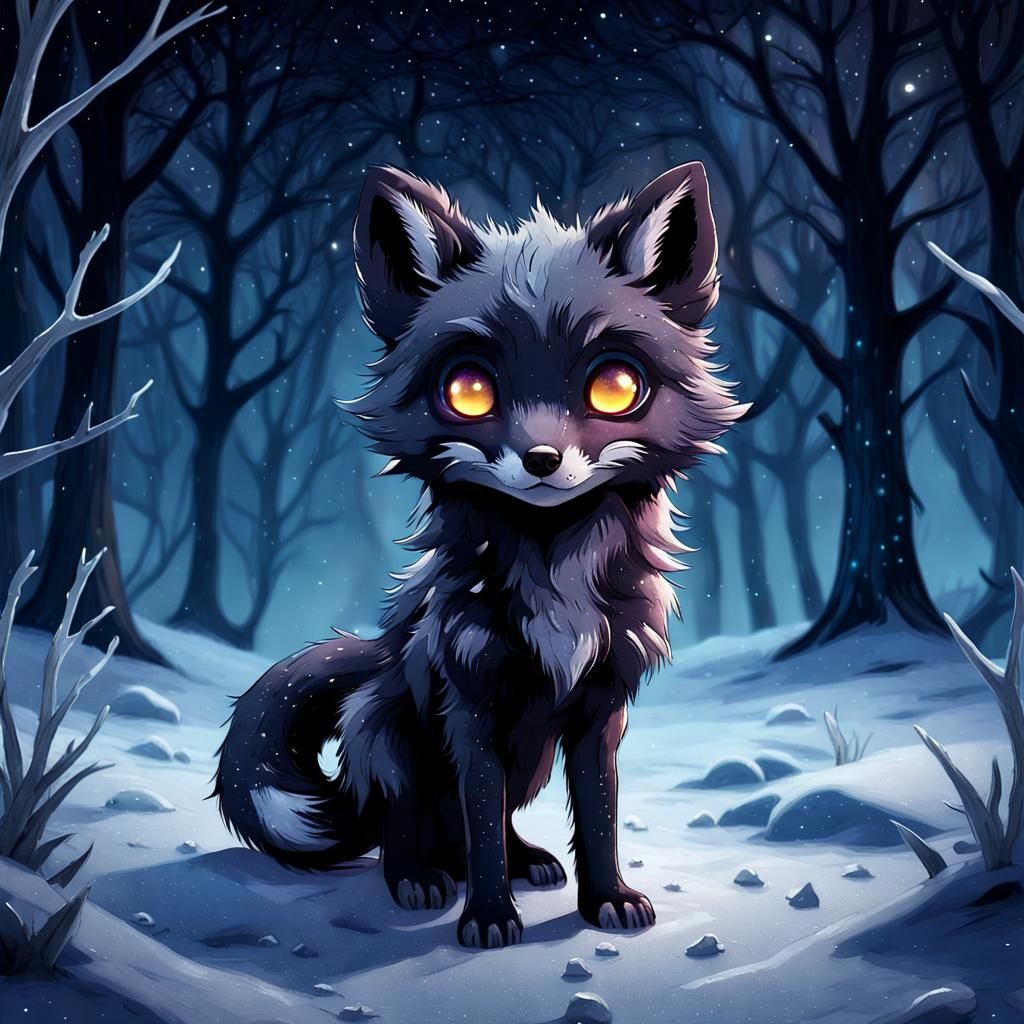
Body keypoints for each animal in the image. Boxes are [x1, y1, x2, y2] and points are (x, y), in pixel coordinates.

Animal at [214, 162, 745, 948]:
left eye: (615, 386)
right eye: (468, 391)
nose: (542, 460)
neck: (554, 573)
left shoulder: (600, 708)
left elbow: (597, 814)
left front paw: (607, 899)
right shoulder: (471, 705)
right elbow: (481, 825)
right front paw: (490, 916)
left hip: (527, 760)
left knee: (485, 824)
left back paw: (527, 862)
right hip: (389, 737)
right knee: (409, 825)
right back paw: (419, 878)